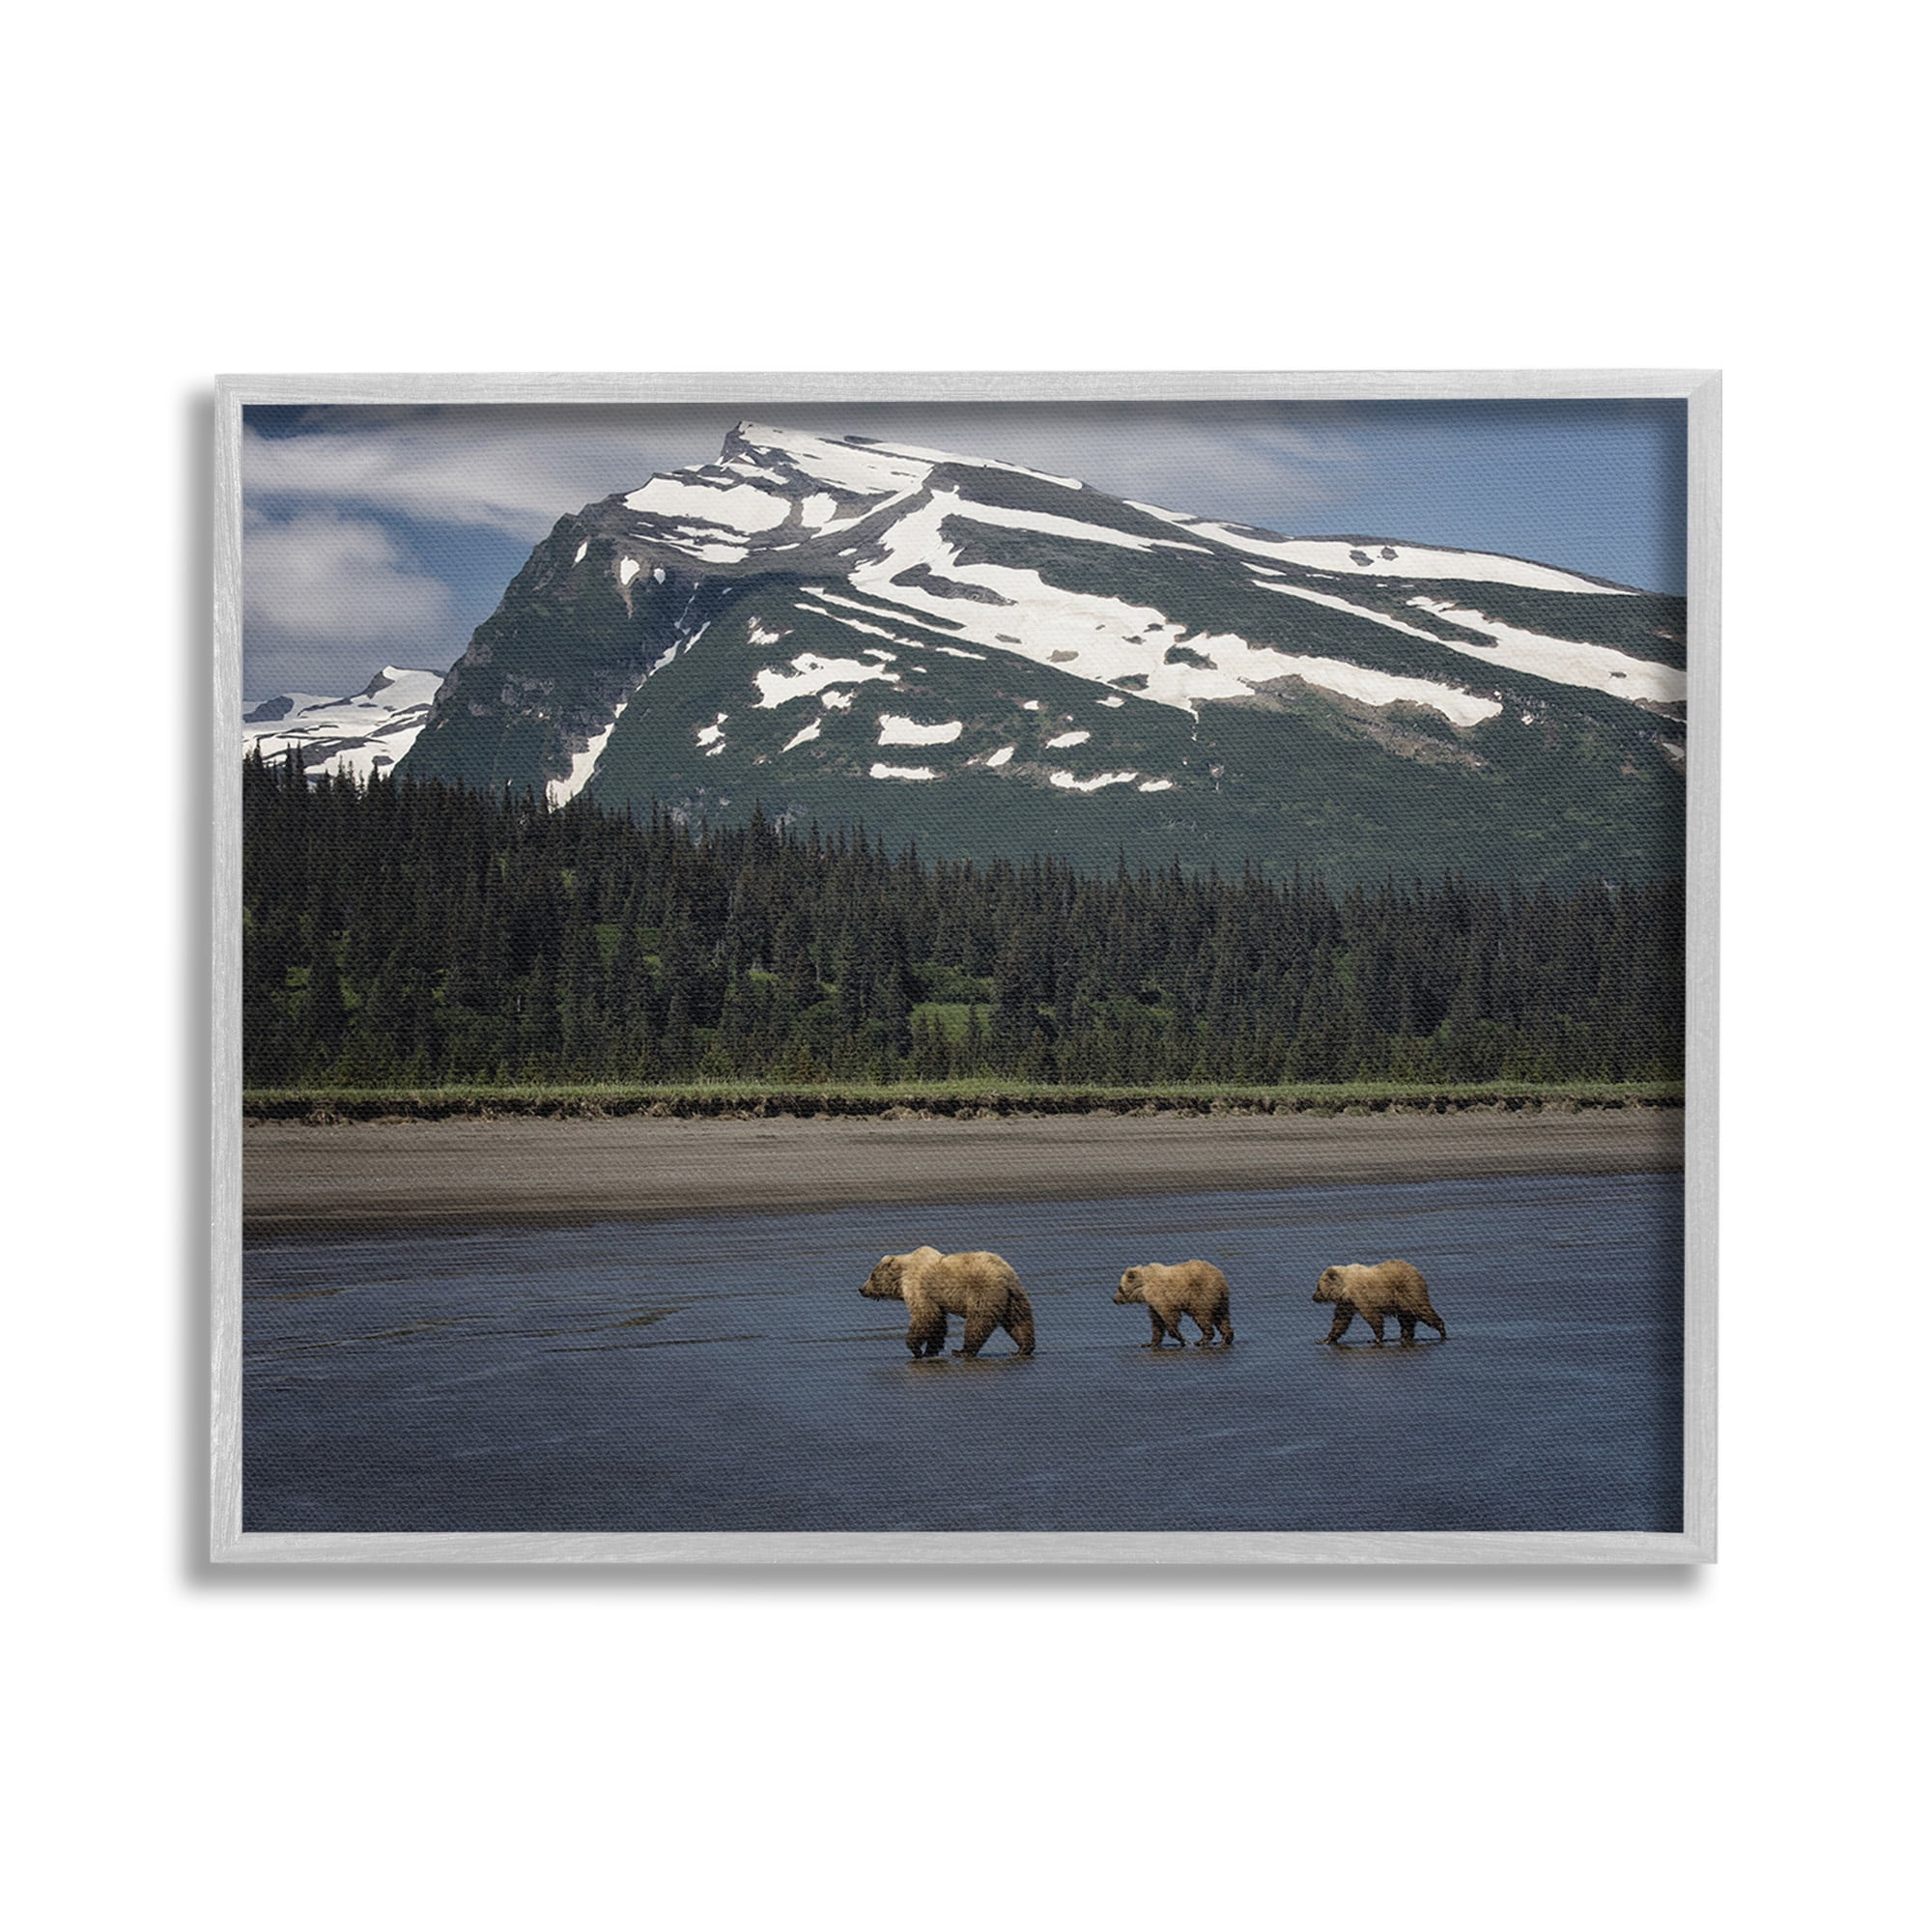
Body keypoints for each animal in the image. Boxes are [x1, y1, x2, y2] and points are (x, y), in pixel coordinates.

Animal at [860, 1246, 1037, 1359]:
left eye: (872, 1276)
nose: (861, 1289)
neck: (902, 1275)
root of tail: (1003, 1271)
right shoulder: (934, 1299)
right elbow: (938, 1322)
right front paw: (930, 1350)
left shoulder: (919, 1287)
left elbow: (925, 1316)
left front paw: (916, 1348)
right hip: (1013, 1296)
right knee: (1019, 1320)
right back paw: (1023, 1348)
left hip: (983, 1291)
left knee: (978, 1321)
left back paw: (963, 1351)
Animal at [1313, 1260, 1447, 1347]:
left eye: (1318, 1288)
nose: (1313, 1297)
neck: (1344, 1288)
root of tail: (1417, 1271)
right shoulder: (1347, 1302)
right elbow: (1340, 1320)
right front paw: (1325, 1339)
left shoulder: (1360, 1296)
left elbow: (1372, 1316)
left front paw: (1376, 1338)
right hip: (1401, 1301)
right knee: (1406, 1318)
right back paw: (1404, 1336)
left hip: (1408, 1290)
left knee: (1421, 1309)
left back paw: (1442, 1331)